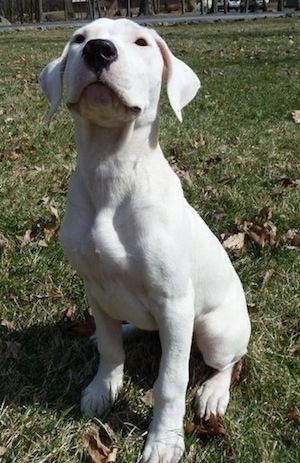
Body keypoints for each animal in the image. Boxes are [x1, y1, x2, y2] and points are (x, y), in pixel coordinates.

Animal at [39, 18, 251, 463]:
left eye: (140, 42)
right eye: (79, 39)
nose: (99, 50)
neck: (112, 170)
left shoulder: (174, 303)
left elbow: (170, 382)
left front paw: (164, 442)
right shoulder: (95, 287)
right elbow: (108, 349)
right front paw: (103, 390)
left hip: (214, 331)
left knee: (228, 362)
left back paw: (212, 394)